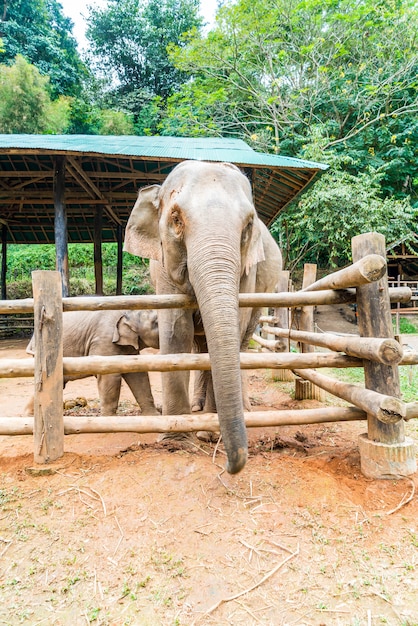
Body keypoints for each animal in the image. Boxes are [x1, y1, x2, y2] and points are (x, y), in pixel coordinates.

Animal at [25, 308, 160, 414]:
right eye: (157, 322)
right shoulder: (104, 340)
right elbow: (109, 376)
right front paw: (109, 420)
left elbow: (137, 375)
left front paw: (153, 416)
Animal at [122, 158, 282, 470]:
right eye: (175, 219)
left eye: (248, 225)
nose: (230, 465)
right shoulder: (164, 267)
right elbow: (176, 331)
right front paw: (175, 440)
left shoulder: (248, 270)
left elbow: (234, 327)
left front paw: (208, 434)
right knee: (200, 344)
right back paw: (197, 407)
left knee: (242, 341)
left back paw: (240, 409)